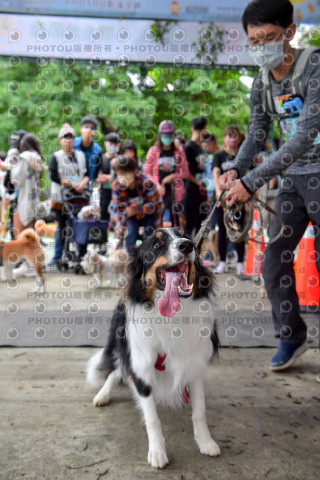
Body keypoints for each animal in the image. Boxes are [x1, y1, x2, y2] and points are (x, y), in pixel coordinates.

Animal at [86, 228, 219, 468]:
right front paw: (157, 452)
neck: (173, 317)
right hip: (122, 346)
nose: (187, 246)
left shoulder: (195, 365)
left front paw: (206, 442)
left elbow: (200, 411)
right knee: (116, 370)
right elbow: (152, 418)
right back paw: (102, 395)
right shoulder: (141, 366)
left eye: (186, 237)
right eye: (156, 245)